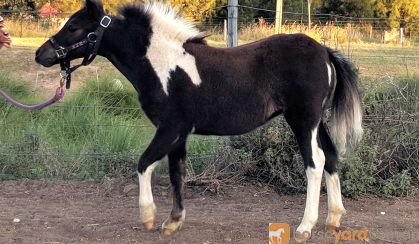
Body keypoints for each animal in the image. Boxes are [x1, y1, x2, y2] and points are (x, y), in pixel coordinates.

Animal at [35, 0, 364, 240]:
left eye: (74, 27)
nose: (41, 54)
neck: (162, 65)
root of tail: (324, 51)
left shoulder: (169, 128)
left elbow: (144, 164)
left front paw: (149, 216)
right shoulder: (179, 134)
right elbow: (176, 174)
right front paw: (173, 221)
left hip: (303, 121)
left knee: (315, 163)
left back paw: (305, 227)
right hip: (317, 122)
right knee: (331, 157)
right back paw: (334, 220)